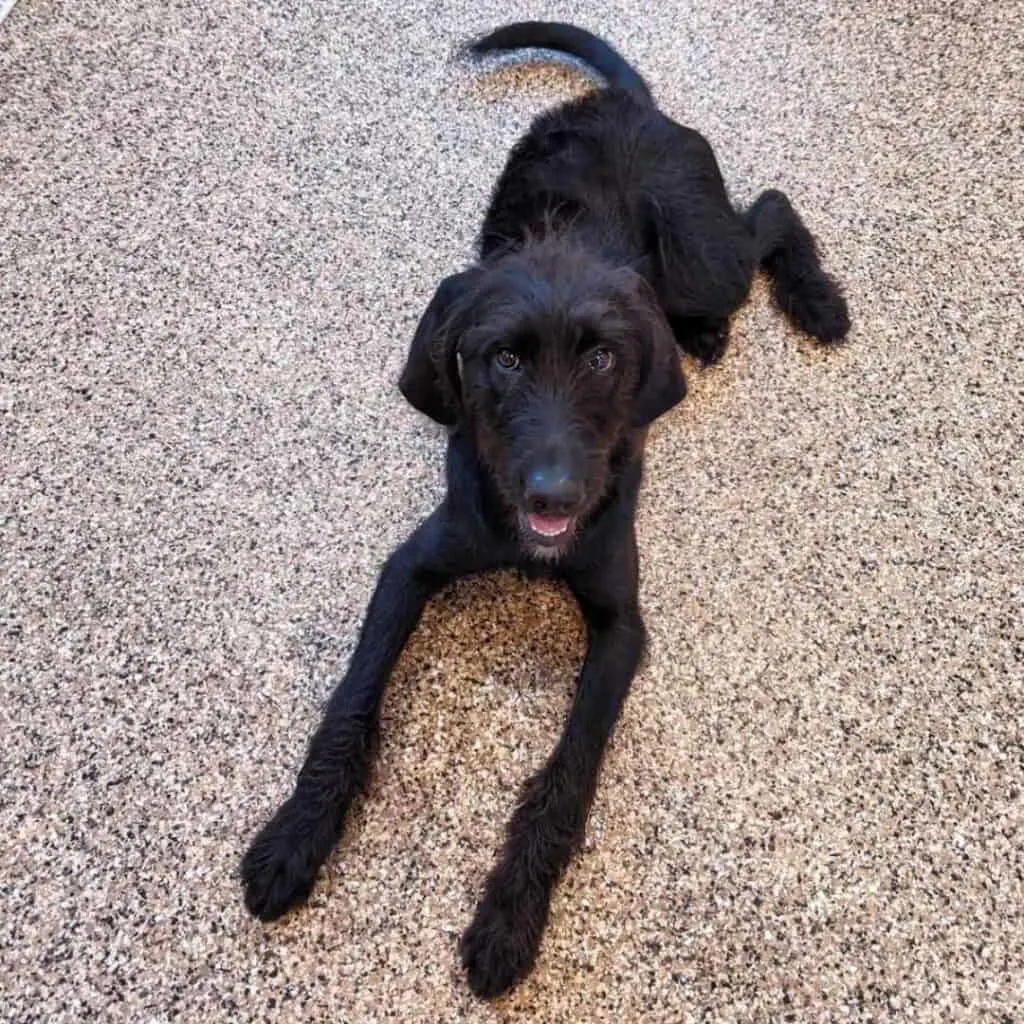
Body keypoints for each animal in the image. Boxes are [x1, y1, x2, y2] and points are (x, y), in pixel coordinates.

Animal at [239, 22, 847, 999]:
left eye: (601, 359)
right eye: (503, 360)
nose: (553, 496)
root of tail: (626, 102)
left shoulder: (620, 622)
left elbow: (567, 772)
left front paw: (510, 919)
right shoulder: (414, 563)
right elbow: (352, 700)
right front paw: (297, 835)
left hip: (700, 256)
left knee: (771, 209)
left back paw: (815, 303)